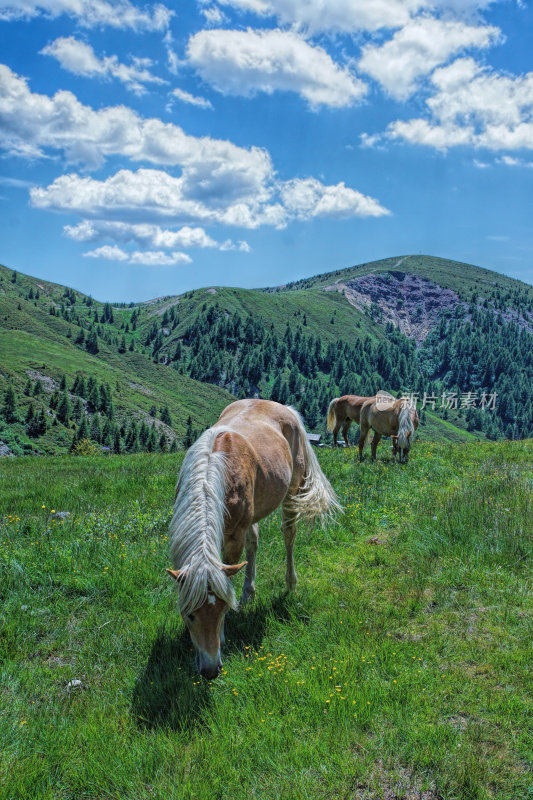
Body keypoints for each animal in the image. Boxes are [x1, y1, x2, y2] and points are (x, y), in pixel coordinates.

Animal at [166, 396, 336, 680]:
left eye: (222, 610)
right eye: (188, 614)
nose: (210, 670)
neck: (213, 470)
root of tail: (284, 408)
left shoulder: (233, 537)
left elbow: (227, 577)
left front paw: (225, 632)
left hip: (292, 492)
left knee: (289, 535)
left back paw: (290, 583)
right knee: (254, 544)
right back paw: (248, 593)